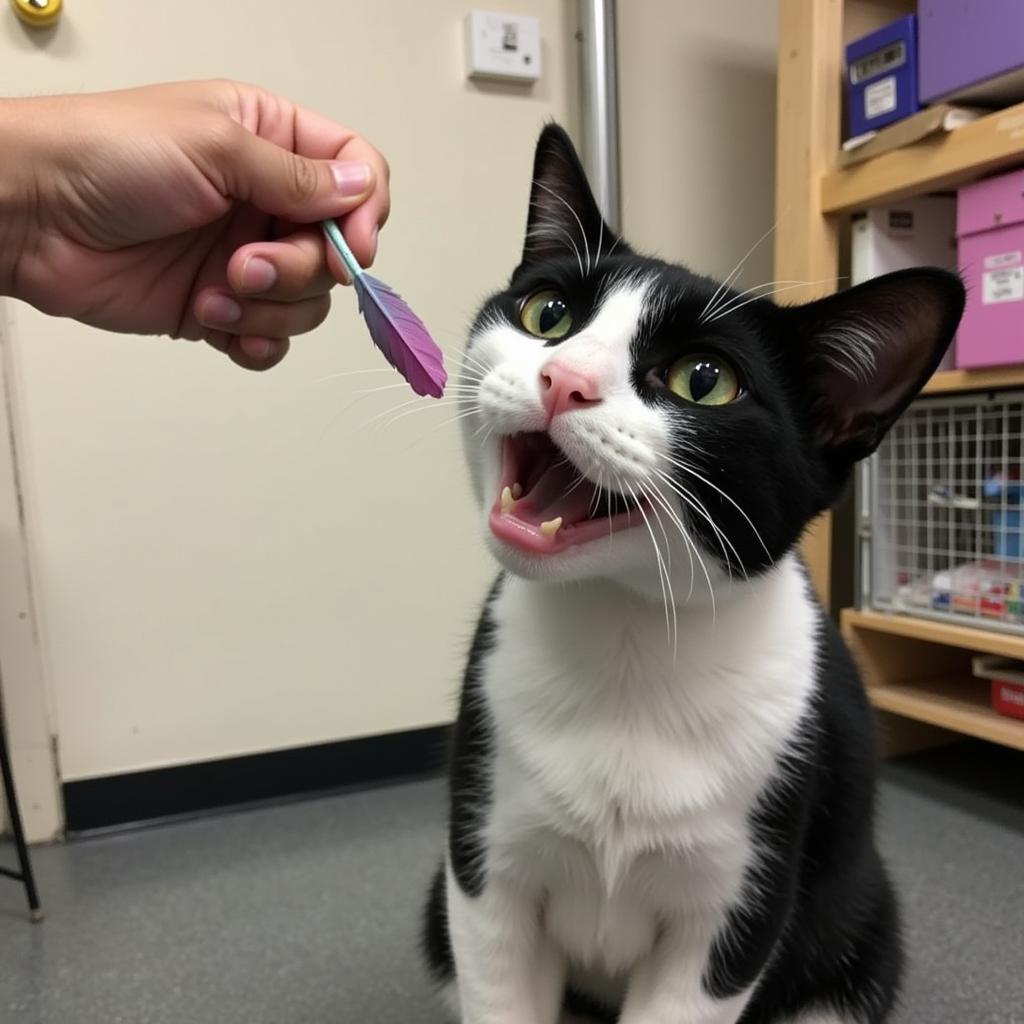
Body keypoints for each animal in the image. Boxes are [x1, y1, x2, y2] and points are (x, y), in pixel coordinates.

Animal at [419, 121, 962, 1024]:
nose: (563, 379)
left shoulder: (737, 905)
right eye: (548, 313)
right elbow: (499, 981)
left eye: (703, 381)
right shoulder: (483, 870)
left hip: (861, 930)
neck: (628, 634)